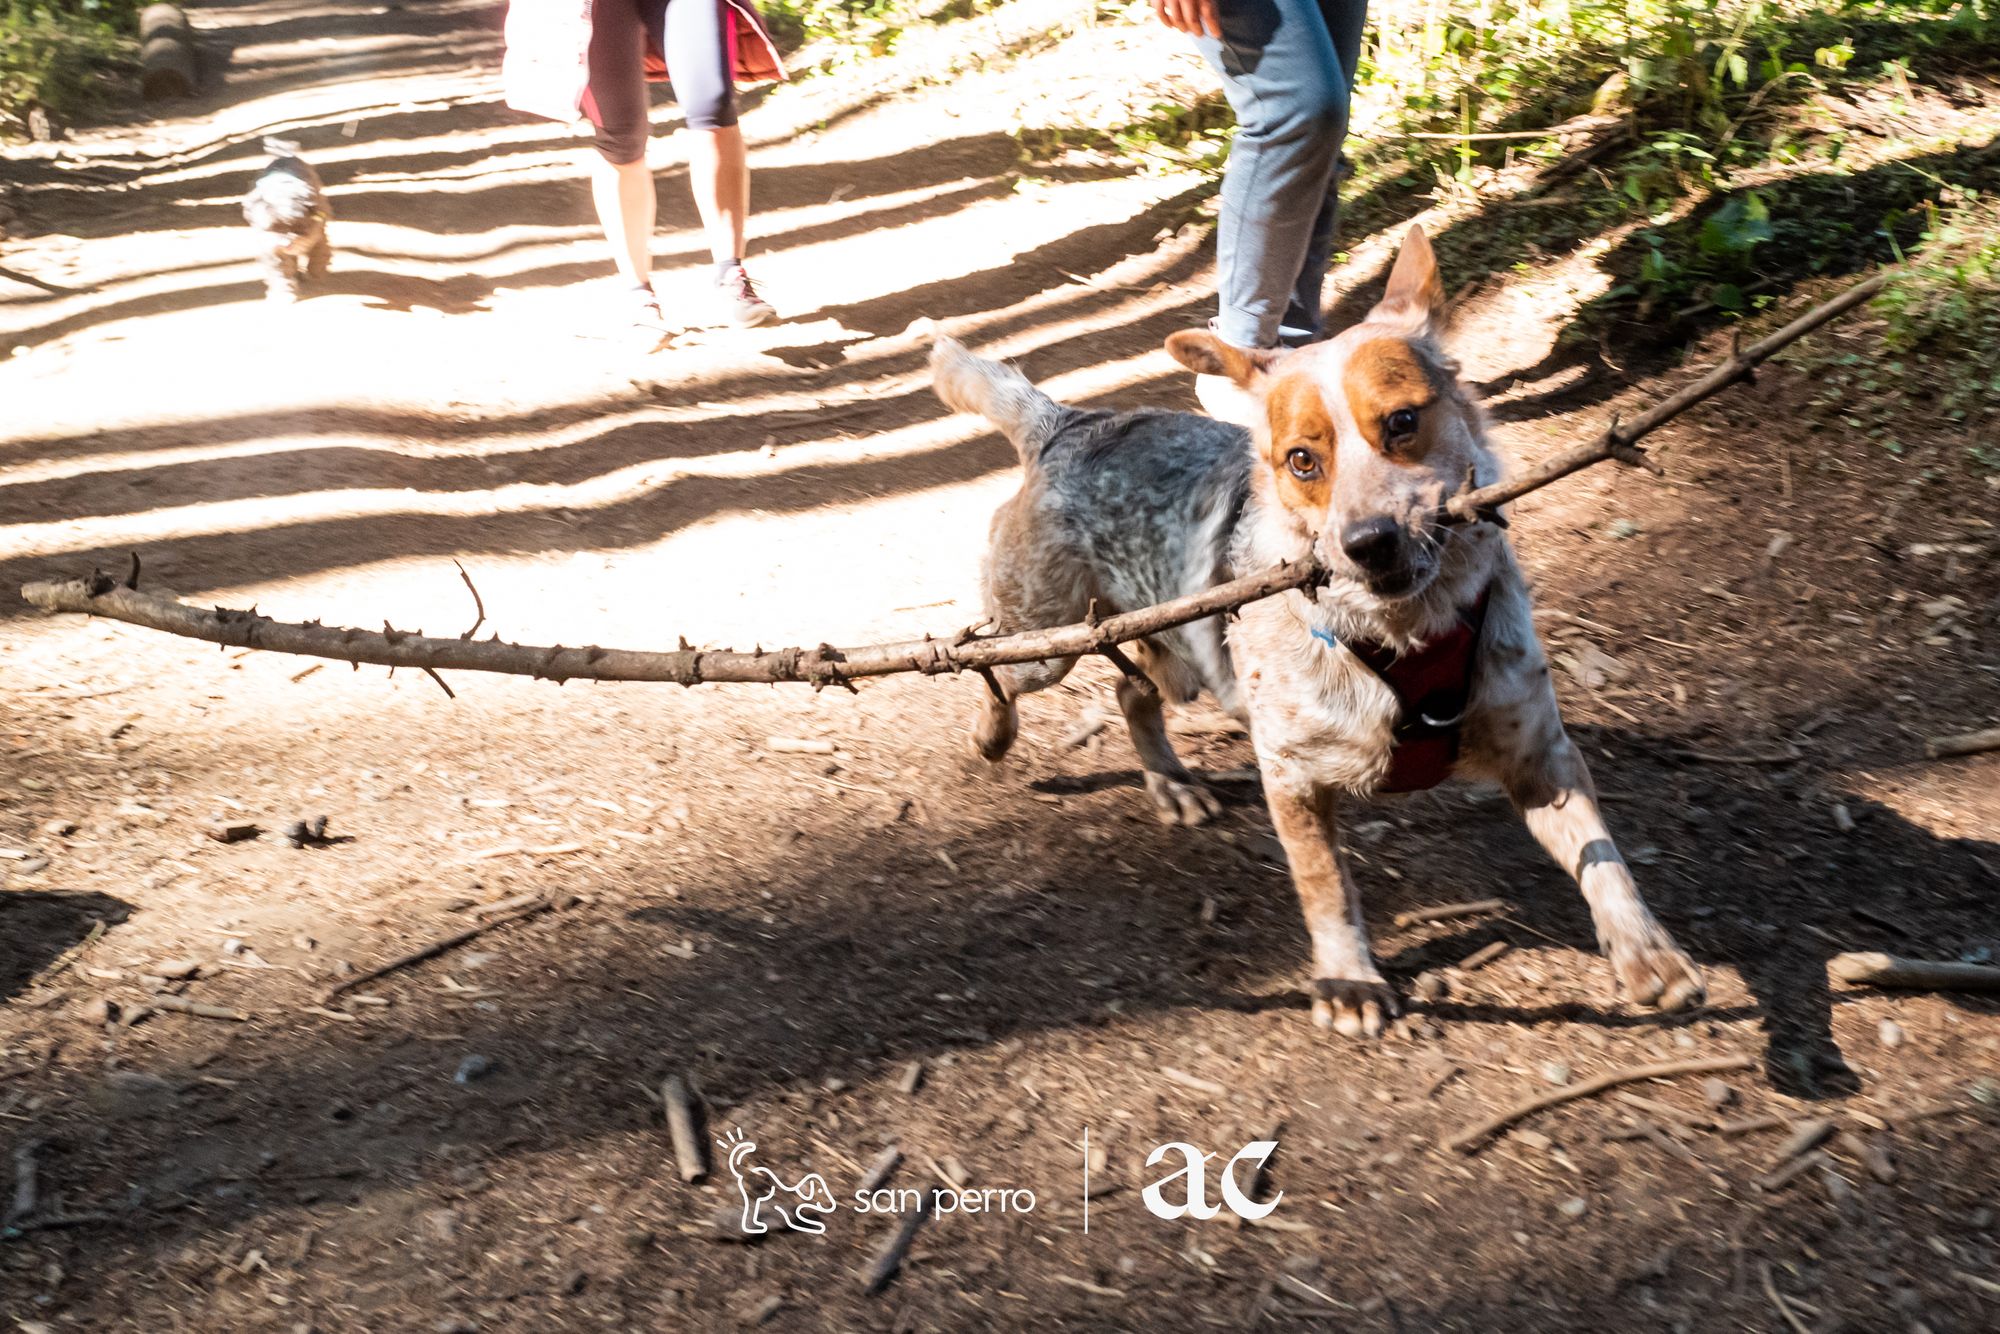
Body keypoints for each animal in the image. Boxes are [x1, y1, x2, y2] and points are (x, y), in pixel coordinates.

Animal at [244, 138, 334, 306]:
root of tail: (285, 156)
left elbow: (319, 256)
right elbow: (281, 274)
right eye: (275, 228)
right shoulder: (273, 251)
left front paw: (316, 276)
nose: (287, 243)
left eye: (297, 228)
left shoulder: (318, 236)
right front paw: (284, 294)